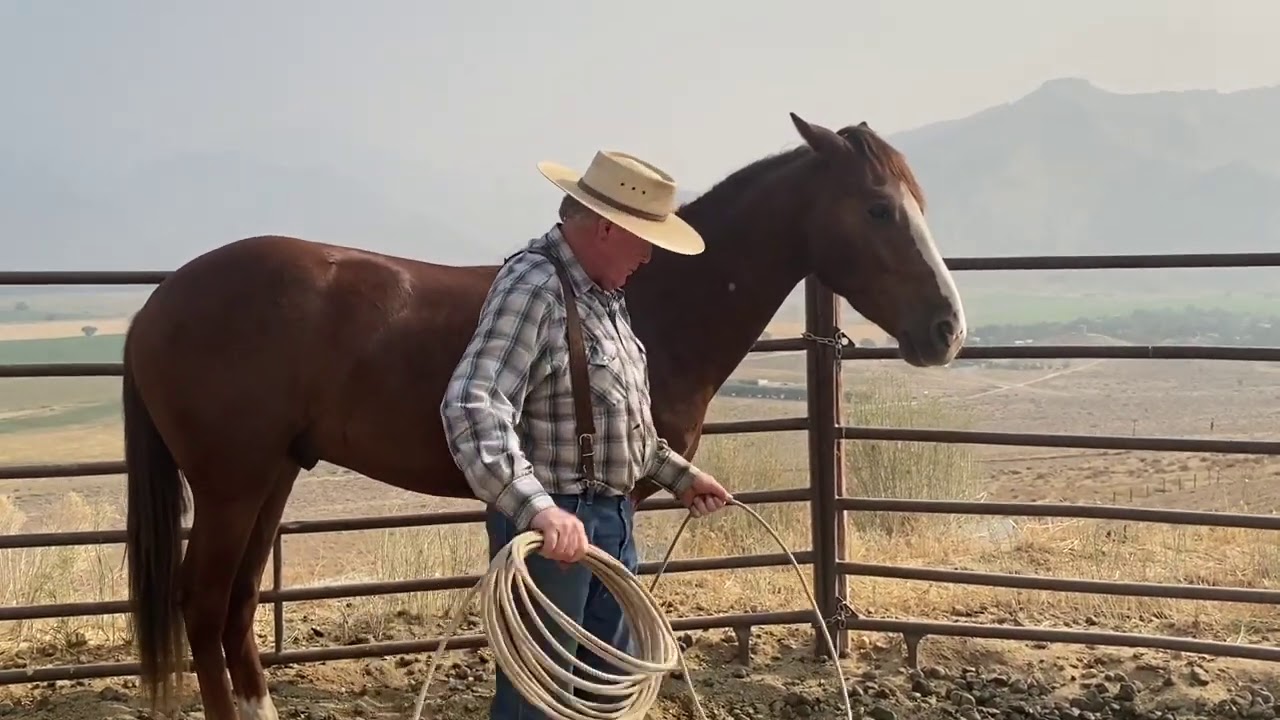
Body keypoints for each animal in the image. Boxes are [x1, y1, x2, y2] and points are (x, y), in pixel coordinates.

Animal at [122, 112, 967, 720]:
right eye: (879, 209)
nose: (948, 329)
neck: (660, 301)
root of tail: (156, 306)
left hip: (273, 479)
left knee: (235, 608)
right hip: (232, 486)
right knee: (204, 604)